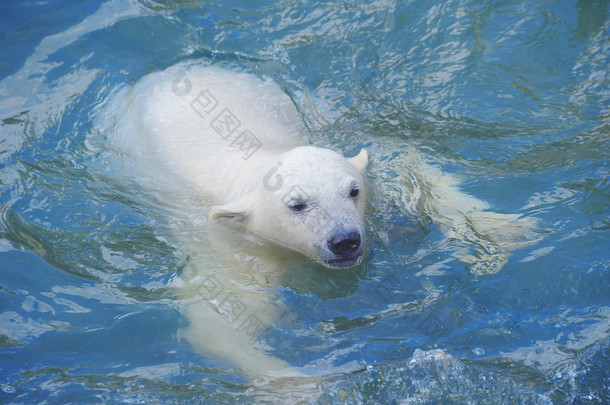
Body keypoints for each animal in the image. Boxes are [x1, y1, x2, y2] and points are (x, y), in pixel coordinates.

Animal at [103, 61, 536, 378]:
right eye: (297, 205)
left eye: (352, 191)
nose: (345, 240)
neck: (257, 160)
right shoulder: (236, 249)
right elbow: (219, 319)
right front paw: (304, 385)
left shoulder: (374, 187)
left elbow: (409, 169)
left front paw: (501, 231)